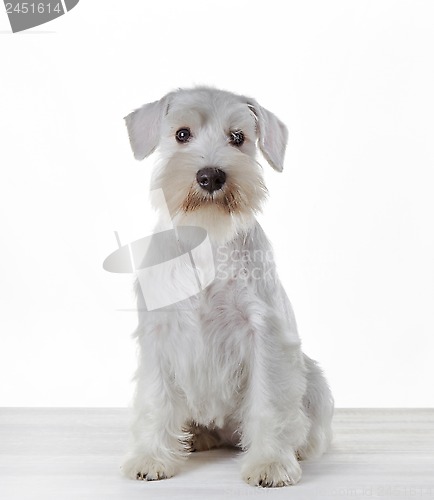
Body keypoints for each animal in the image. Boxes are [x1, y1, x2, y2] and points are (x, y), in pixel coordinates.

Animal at [120, 88, 334, 486]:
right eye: (182, 134)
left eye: (238, 137)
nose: (210, 176)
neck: (207, 235)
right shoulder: (159, 334)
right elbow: (156, 400)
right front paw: (151, 458)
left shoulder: (263, 335)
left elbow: (269, 402)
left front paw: (270, 463)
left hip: (314, 381)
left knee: (310, 428)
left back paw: (297, 446)